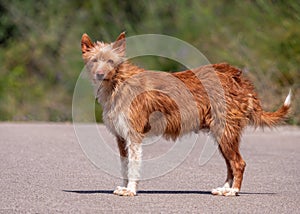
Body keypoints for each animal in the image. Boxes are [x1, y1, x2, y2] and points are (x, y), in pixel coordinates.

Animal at [79, 30, 290, 196]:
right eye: (94, 60)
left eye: (111, 61)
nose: (100, 74)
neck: (118, 82)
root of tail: (235, 75)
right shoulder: (121, 137)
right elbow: (125, 166)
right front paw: (125, 187)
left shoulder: (134, 135)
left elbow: (133, 165)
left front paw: (130, 190)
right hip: (222, 134)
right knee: (231, 165)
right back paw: (224, 189)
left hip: (226, 132)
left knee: (239, 163)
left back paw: (233, 191)